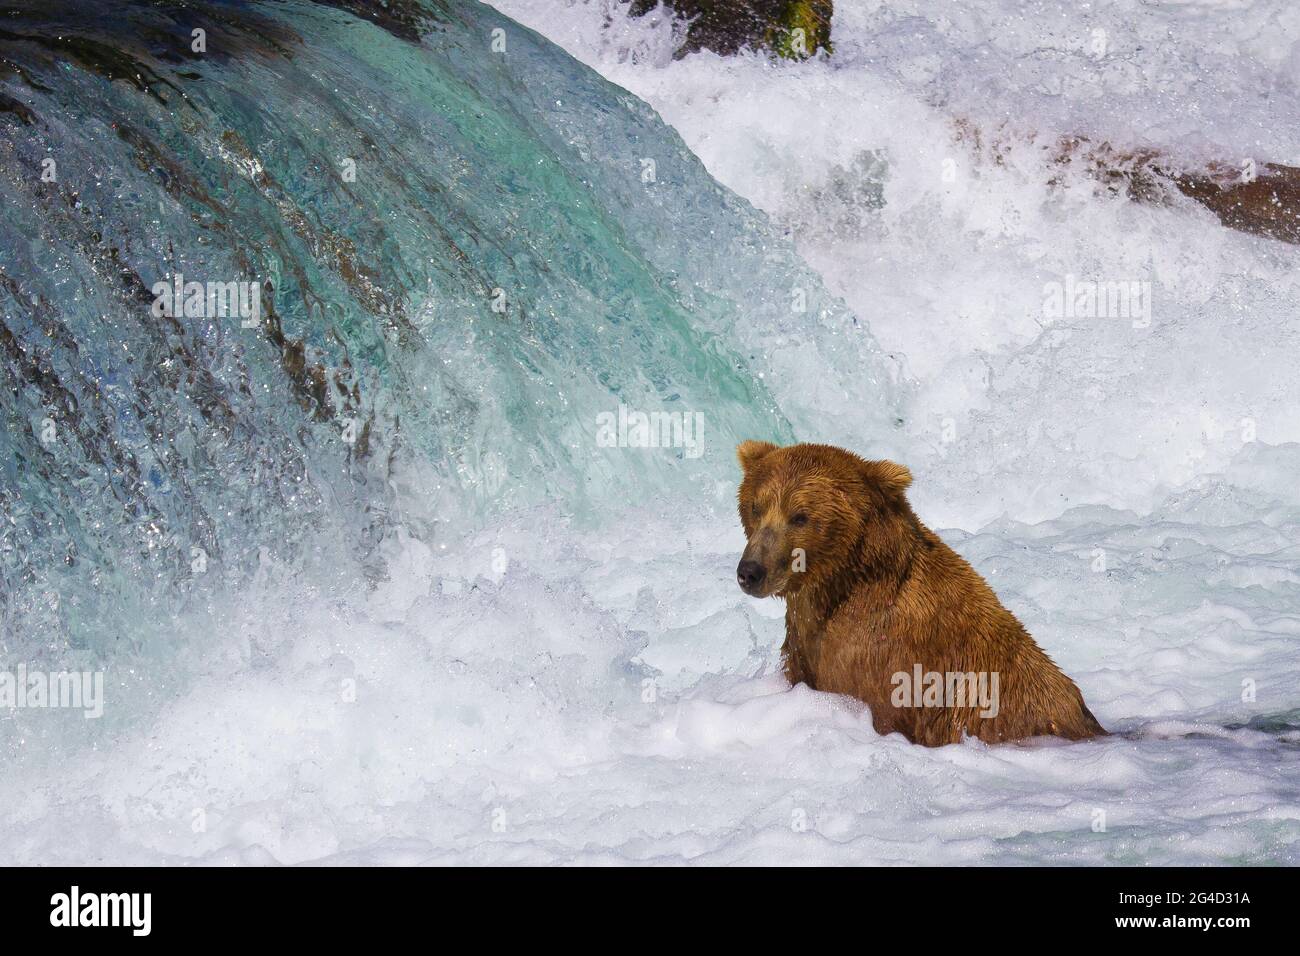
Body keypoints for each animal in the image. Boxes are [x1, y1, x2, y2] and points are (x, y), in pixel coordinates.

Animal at [738, 442, 1102, 749]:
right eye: (756, 507)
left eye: (800, 515)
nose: (750, 571)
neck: (839, 586)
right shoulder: (805, 643)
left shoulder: (880, 661)